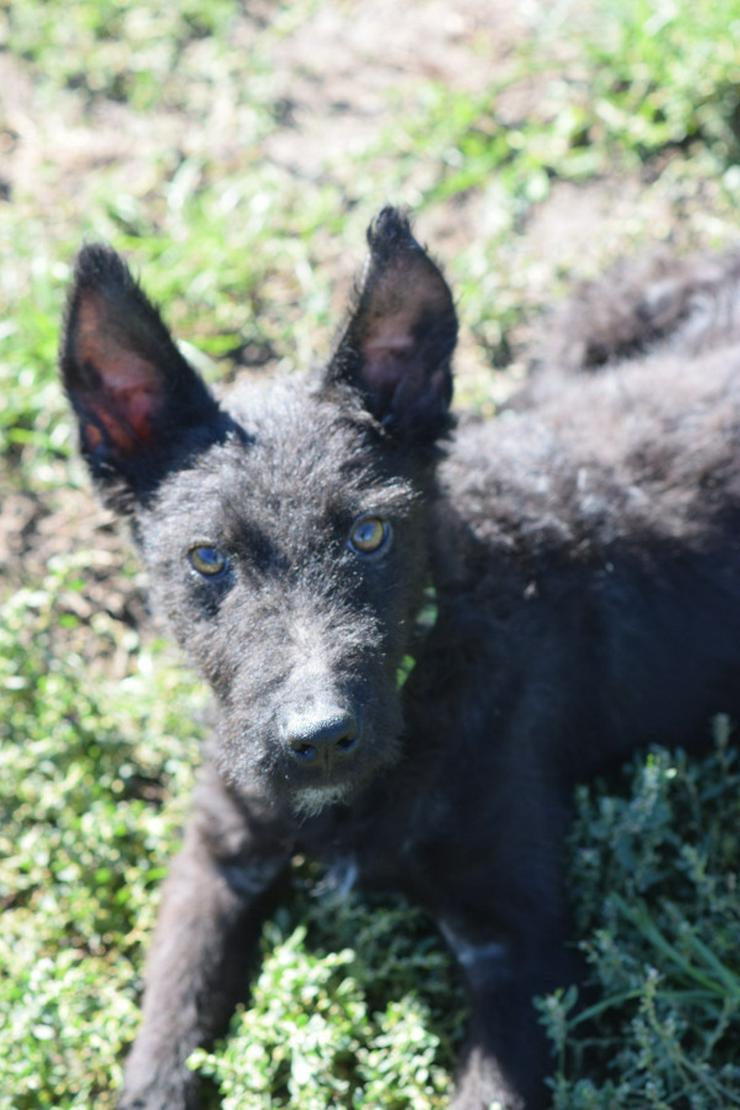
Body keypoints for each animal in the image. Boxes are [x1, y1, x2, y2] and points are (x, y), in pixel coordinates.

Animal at [59, 209, 740, 1110]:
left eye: (369, 533)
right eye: (208, 558)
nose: (318, 740)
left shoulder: (516, 945)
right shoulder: (218, 857)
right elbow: (167, 1037)